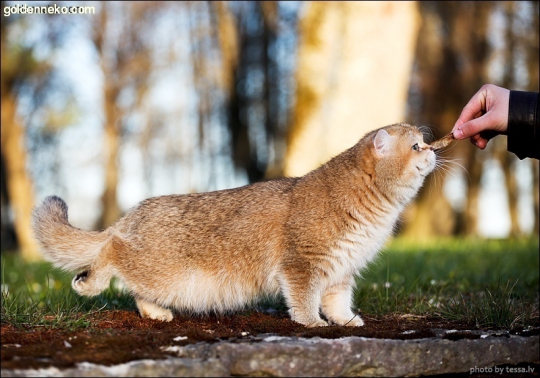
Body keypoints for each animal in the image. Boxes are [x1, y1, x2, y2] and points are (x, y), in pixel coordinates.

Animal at [31, 122, 436, 326]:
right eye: (417, 146)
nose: (434, 151)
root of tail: (133, 213)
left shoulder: (340, 271)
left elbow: (338, 302)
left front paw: (346, 321)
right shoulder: (301, 265)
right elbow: (304, 301)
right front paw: (313, 323)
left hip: (161, 278)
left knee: (138, 288)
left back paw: (157, 312)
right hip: (153, 263)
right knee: (111, 247)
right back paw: (91, 282)